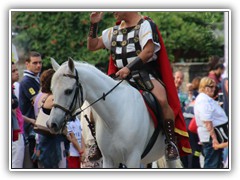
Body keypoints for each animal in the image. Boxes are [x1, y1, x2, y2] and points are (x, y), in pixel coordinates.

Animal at [47, 58, 182, 169]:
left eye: (68, 91)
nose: (51, 124)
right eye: (52, 90)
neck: (115, 118)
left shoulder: (133, 158)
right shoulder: (109, 160)